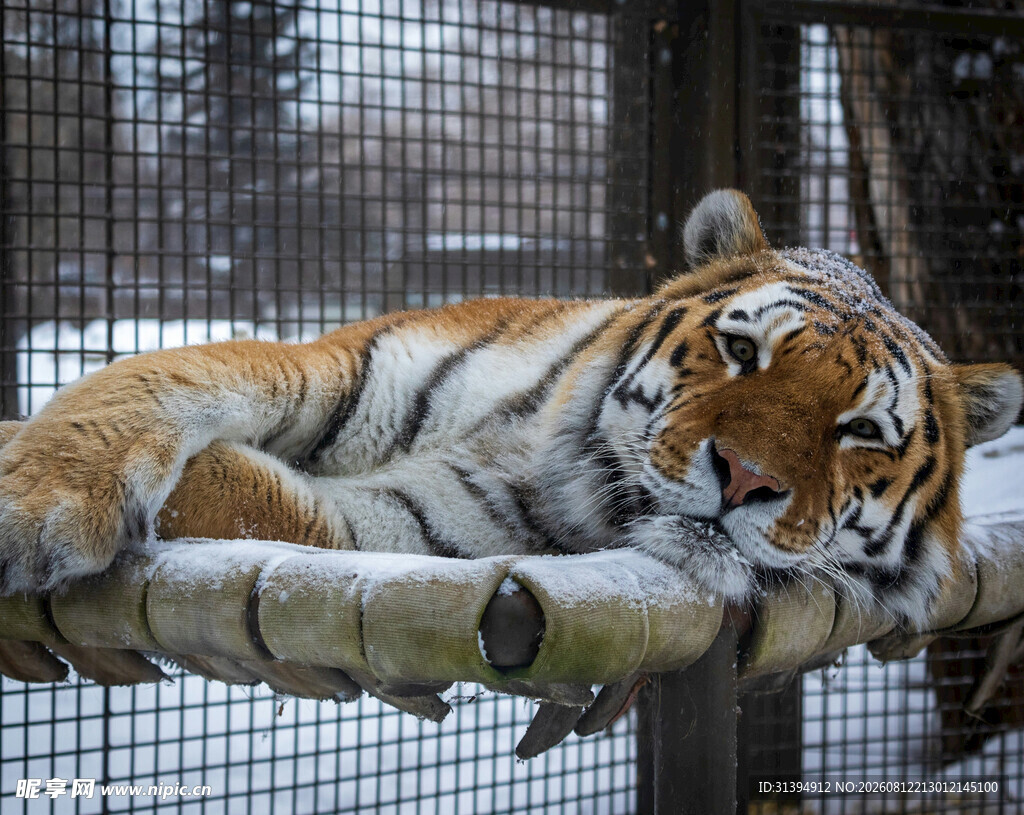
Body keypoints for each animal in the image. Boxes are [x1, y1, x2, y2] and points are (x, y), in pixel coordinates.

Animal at [0, 189, 1019, 629]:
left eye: (859, 431)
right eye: (742, 352)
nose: (747, 478)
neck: (527, 445)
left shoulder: (401, 529)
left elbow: (237, 492)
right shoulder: (338, 361)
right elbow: (166, 377)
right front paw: (36, 497)